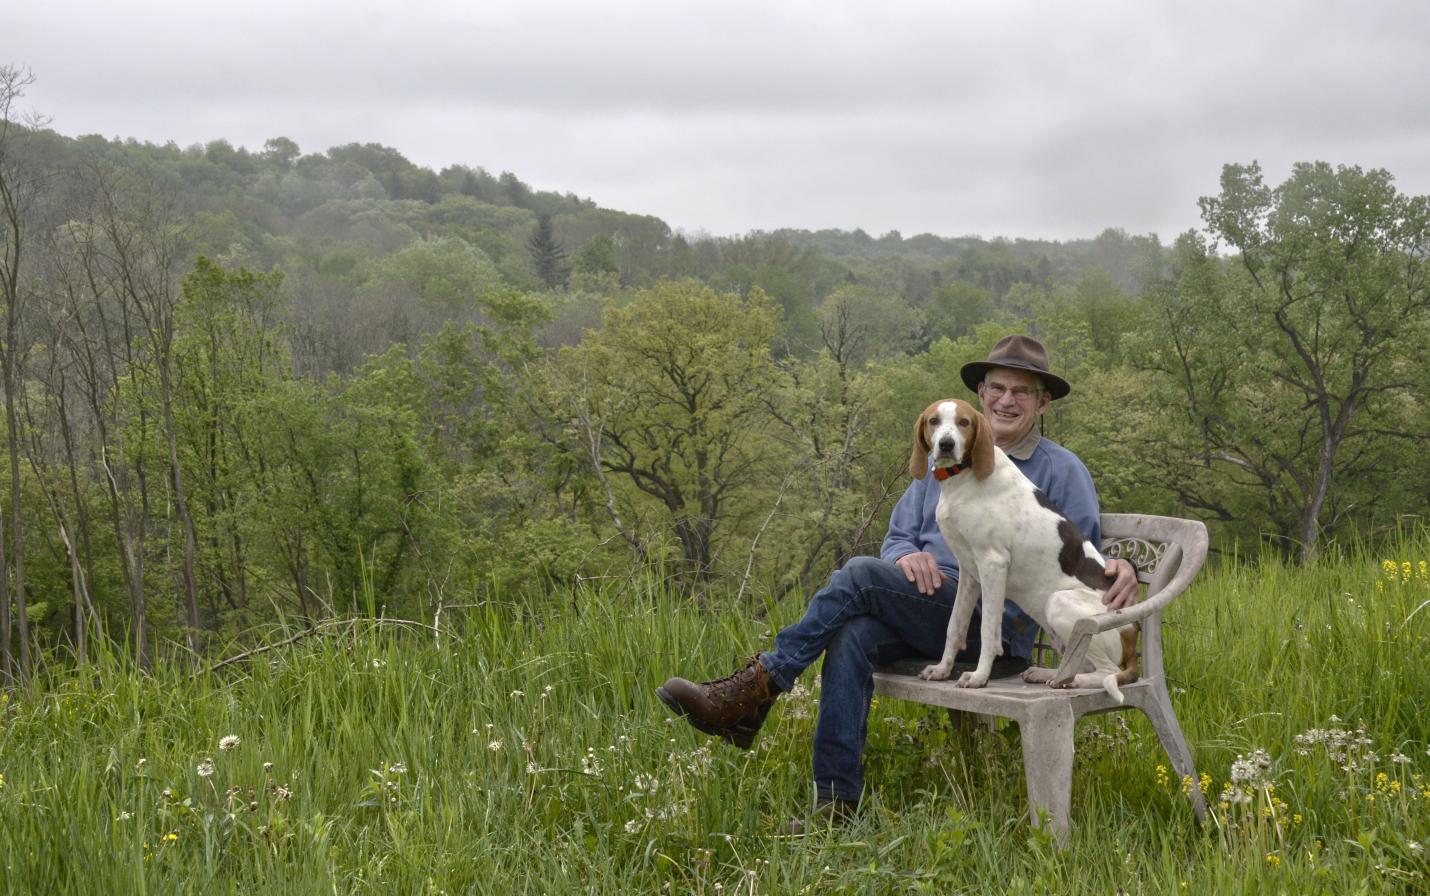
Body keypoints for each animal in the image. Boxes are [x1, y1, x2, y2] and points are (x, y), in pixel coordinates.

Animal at [903, 397, 1138, 700]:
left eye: (964, 423)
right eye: (934, 421)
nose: (946, 444)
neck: (962, 477)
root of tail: (1132, 634)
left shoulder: (992, 565)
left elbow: (988, 631)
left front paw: (979, 676)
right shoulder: (969, 572)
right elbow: (954, 626)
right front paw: (943, 669)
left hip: (1059, 603)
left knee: (1105, 672)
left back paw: (1069, 682)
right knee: (1079, 662)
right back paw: (1049, 674)